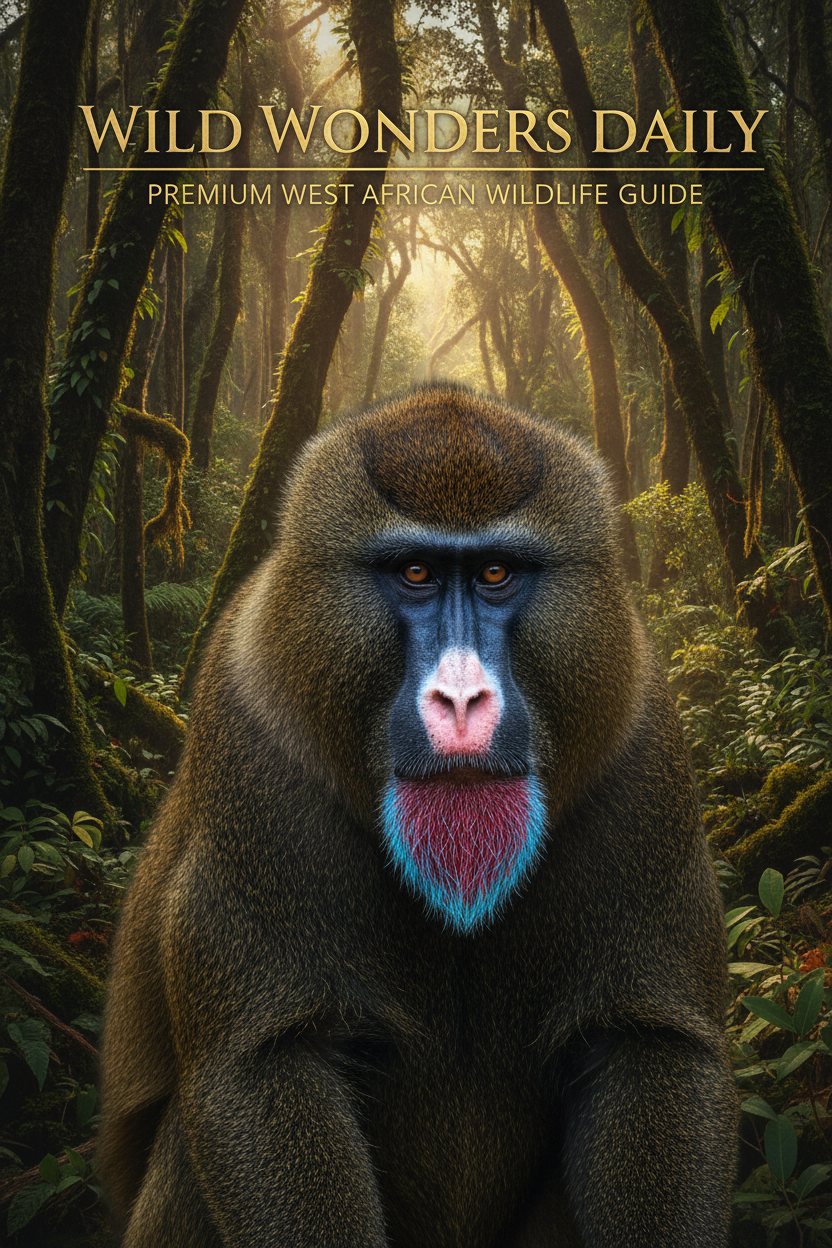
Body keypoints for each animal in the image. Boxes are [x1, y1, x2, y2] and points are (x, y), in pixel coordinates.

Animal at [99, 384, 737, 1248]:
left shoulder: (641, 748)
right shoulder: (251, 746)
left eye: (496, 571)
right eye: (415, 572)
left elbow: (656, 1052)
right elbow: (259, 1072)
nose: (461, 700)